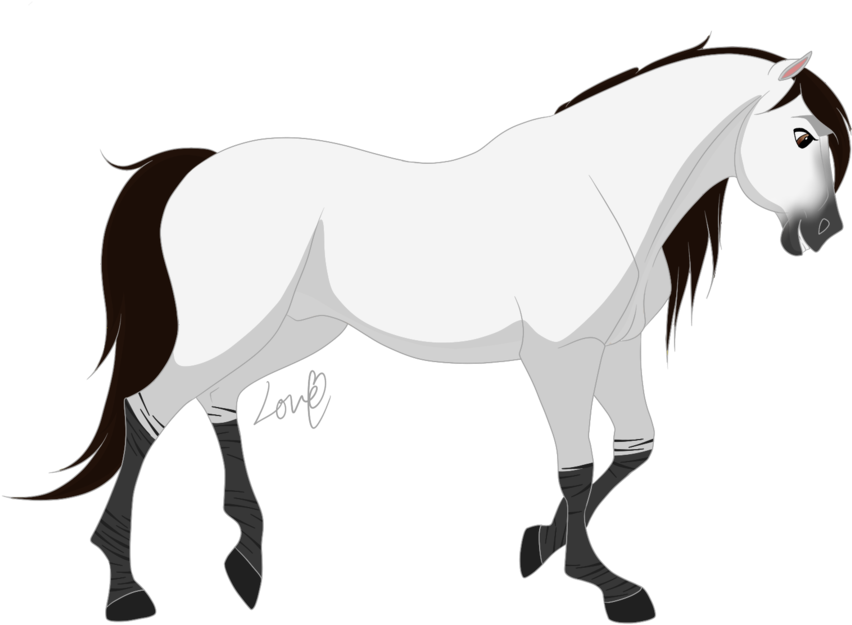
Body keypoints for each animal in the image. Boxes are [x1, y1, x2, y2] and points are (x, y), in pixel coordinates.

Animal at [5, 34, 848, 623]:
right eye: (803, 135)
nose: (825, 232)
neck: (603, 189)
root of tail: (199, 167)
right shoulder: (561, 357)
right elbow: (576, 466)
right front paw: (604, 584)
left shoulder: (613, 351)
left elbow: (634, 448)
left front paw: (540, 548)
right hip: (234, 322)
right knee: (149, 410)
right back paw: (124, 588)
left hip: (292, 327)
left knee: (218, 399)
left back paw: (245, 557)